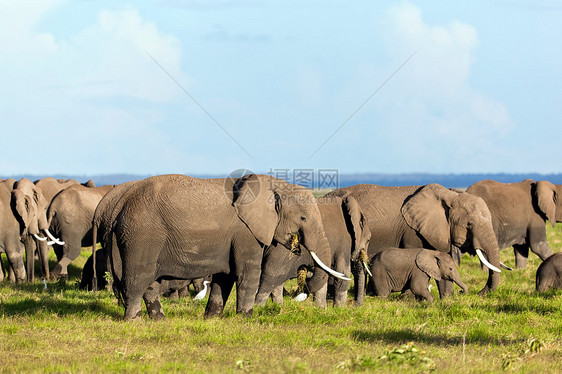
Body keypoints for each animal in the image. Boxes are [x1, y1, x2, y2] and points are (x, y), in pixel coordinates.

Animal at [102, 174, 344, 320]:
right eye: (303, 218)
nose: (305, 279)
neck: (272, 183)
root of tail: (119, 204)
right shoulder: (246, 232)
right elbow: (247, 274)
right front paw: (246, 319)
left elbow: (224, 278)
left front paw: (211, 319)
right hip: (142, 234)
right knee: (139, 277)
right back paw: (134, 321)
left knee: (150, 282)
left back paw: (159, 321)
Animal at [326, 183, 500, 300]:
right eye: (469, 224)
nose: (479, 293)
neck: (450, 194)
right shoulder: (412, 231)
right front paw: (411, 298)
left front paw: (447, 299)